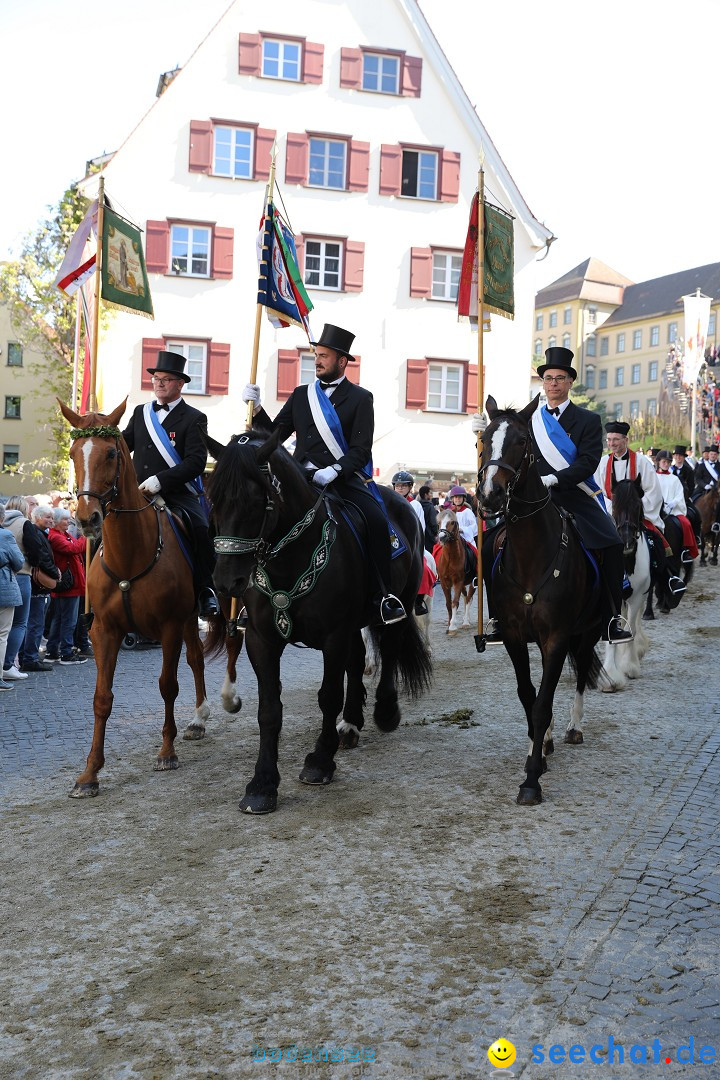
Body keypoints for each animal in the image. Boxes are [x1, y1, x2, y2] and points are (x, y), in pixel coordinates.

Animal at [59, 401, 245, 799]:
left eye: (112, 454)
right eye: (72, 453)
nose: (86, 519)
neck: (130, 553)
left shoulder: (168, 627)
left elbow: (167, 685)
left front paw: (166, 752)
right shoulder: (105, 631)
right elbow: (102, 698)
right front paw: (89, 774)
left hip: (231, 602)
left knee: (233, 643)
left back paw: (229, 697)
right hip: (191, 617)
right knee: (196, 658)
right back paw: (198, 718)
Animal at [208, 427, 433, 812]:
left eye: (255, 501)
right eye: (213, 500)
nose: (226, 582)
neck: (289, 558)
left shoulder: (333, 635)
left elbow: (328, 695)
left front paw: (320, 761)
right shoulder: (261, 639)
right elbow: (269, 709)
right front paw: (262, 785)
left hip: (397, 603)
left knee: (388, 651)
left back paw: (385, 711)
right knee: (358, 661)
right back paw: (352, 724)